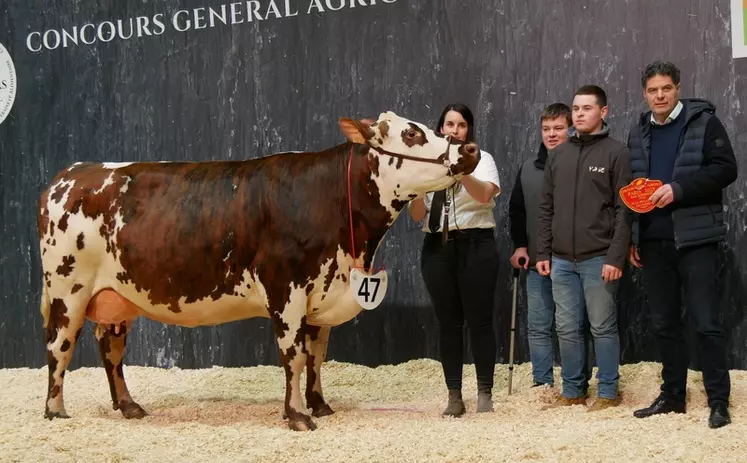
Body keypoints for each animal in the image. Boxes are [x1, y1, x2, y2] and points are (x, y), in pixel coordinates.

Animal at [36, 112, 480, 432]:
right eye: (412, 134)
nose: (471, 148)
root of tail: (69, 174)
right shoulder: (286, 290)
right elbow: (294, 357)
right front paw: (298, 416)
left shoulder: (321, 293)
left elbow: (317, 356)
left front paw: (320, 405)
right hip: (67, 289)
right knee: (59, 347)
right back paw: (55, 410)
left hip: (116, 297)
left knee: (110, 349)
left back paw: (128, 406)